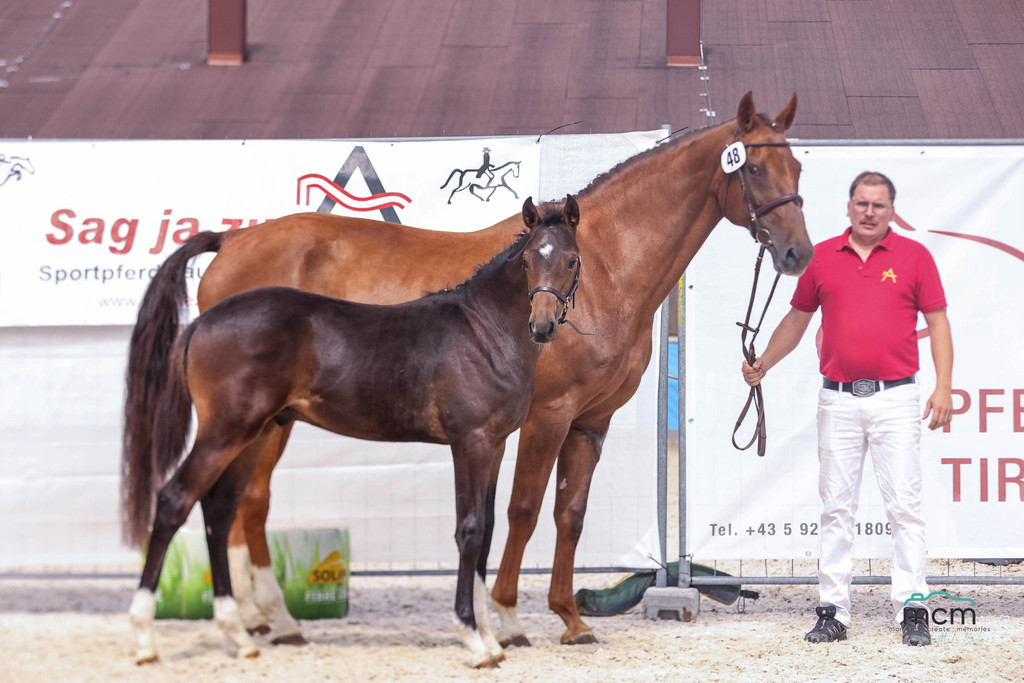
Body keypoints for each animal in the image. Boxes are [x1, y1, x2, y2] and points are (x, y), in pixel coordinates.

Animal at [126, 196, 583, 668]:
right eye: (527, 260)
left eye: (572, 260)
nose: (542, 326)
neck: (482, 332)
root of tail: (202, 323)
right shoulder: (469, 442)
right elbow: (469, 530)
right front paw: (473, 640)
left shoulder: (495, 446)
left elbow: (487, 529)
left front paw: (491, 641)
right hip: (224, 431)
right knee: (174, 500)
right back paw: (145, 639)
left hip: (253, 434)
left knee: (219, 508)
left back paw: (238, 634)